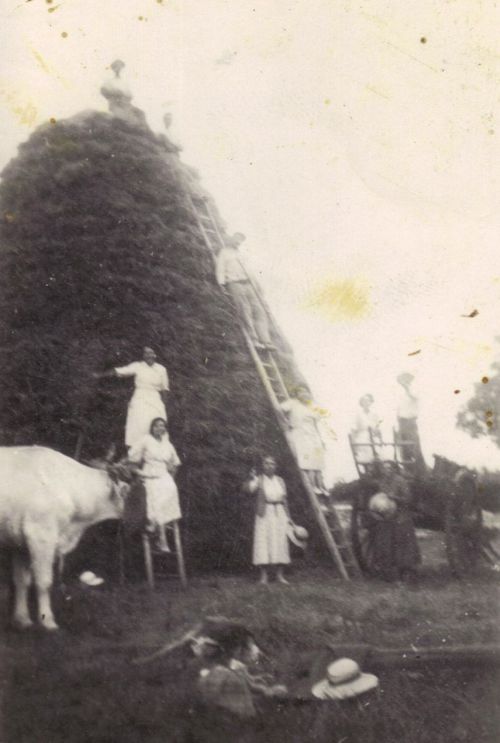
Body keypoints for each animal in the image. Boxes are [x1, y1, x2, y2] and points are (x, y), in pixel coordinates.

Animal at [0, 444, 133, 632]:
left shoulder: (19, 543)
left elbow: (21, 581)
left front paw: (22, 620)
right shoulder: (41, 534)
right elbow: (44, 581)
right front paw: (48, 621)